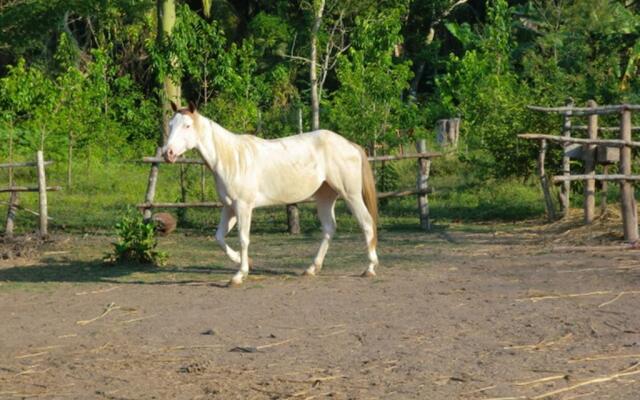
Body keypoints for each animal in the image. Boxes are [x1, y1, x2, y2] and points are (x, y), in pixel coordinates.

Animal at [162, 101, 378, 286]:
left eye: (187, 125)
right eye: (171, 125)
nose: (167, 153)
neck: (232, 158)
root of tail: (350, 145)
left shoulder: (243, 206)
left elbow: (243, 238)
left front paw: (239, 275)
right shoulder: (229, 207)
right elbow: (219, 237)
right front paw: (242, 261)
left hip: (351, 195)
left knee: (367, 224)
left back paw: (369, 268)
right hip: (325, 197)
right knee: (329, 228)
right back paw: (312, 268)